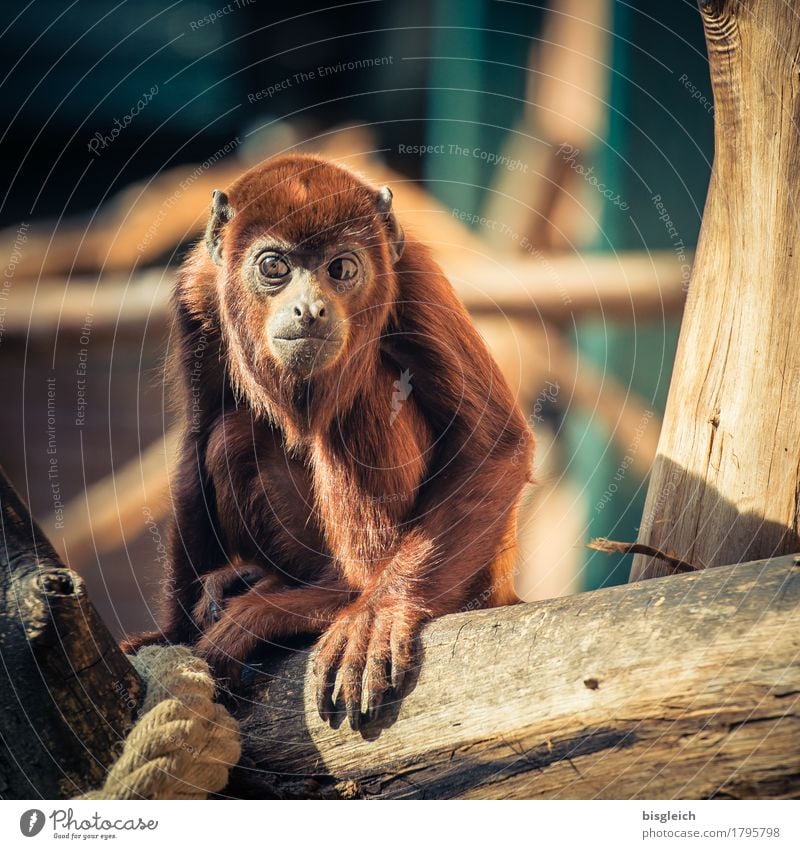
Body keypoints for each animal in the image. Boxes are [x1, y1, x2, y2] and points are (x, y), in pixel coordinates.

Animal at [122, 154, 536, 728]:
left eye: (341, 269)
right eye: (274, 266)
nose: (310, 310)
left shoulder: (412, 277)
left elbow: (494, 442)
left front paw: (380, 612)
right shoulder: (196, 291)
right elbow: (196, 440)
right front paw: (171, 633)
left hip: (471, 581)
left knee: (362, 396)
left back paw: (331, 601)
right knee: (230, 435)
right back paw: (261, 582)